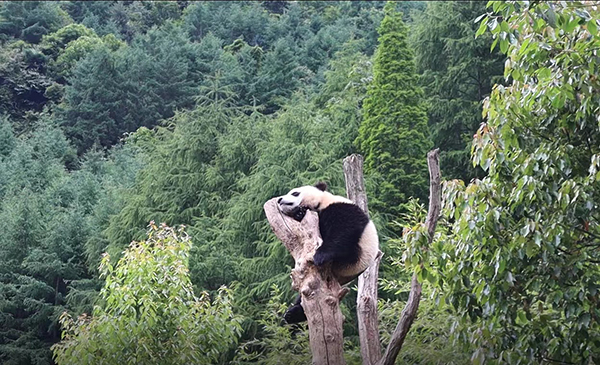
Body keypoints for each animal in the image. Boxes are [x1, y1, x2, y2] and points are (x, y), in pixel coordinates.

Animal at [278, 181, 380, 322]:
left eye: (295, 193)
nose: (279, 199)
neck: (322, 202)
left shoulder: (341, 208)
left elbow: (343, 232)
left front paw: (319, 256)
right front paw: (299, 213)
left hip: (358, 255)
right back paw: (292, 314)